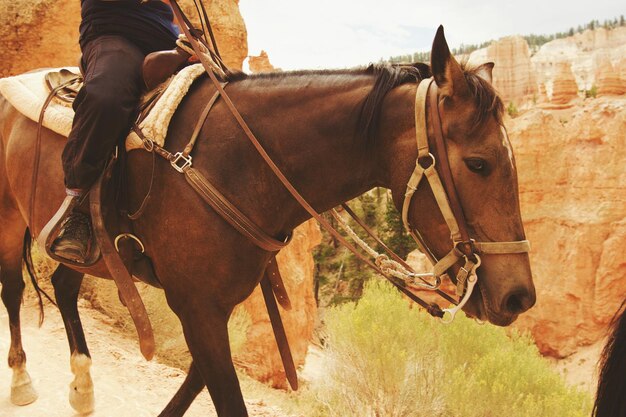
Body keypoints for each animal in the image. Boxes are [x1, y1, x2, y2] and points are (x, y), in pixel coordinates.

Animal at [1, 27, 536, 414]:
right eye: (480, 163)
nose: (520, 296)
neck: (237, 163)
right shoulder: (196, 306)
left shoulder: (216, 307)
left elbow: (193, 385)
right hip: (9, 218)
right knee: (14, 286)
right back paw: (23, 379)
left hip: (94, 250)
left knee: (65, 285)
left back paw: (82, 385)